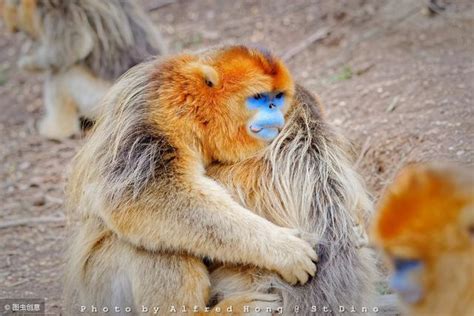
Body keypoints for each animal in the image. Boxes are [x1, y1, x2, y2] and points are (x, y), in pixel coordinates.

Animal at [0, 0, 167, 139]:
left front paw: (27, 63)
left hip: (99, 99)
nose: (30, 38)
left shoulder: (61, 9)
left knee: (61, 74)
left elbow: (75, 44)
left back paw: (57, 129)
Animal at [65, 45, 374, 314]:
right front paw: (285, 250)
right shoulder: (160, 108)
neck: (196, 106)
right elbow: (139, 194)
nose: (274, 109)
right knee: (154, 240)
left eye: (277, 97)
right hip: (100, 288)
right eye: (259, 98)